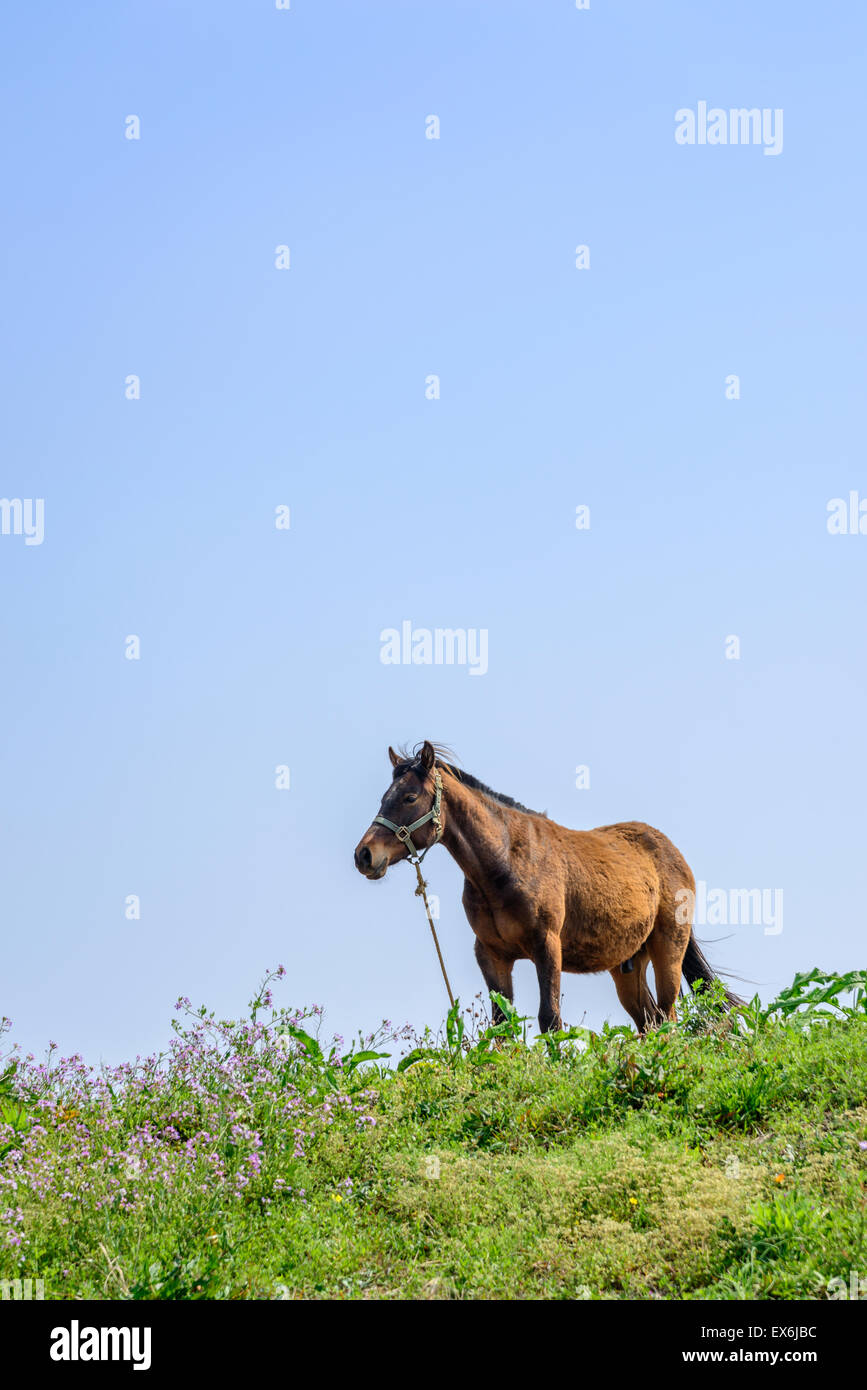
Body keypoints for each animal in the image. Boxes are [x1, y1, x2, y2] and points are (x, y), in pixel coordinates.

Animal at [352, 750, 739, 1034]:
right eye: (384, 797)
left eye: (409, 796)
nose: (364, 855)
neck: (506, 862)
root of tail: (670, 852)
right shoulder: (491, 955)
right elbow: (502, 1026)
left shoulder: (547, 947)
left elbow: (549, 1018)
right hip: (627, 966)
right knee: (651, 1022)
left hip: (668, 949)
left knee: (668, 1016)